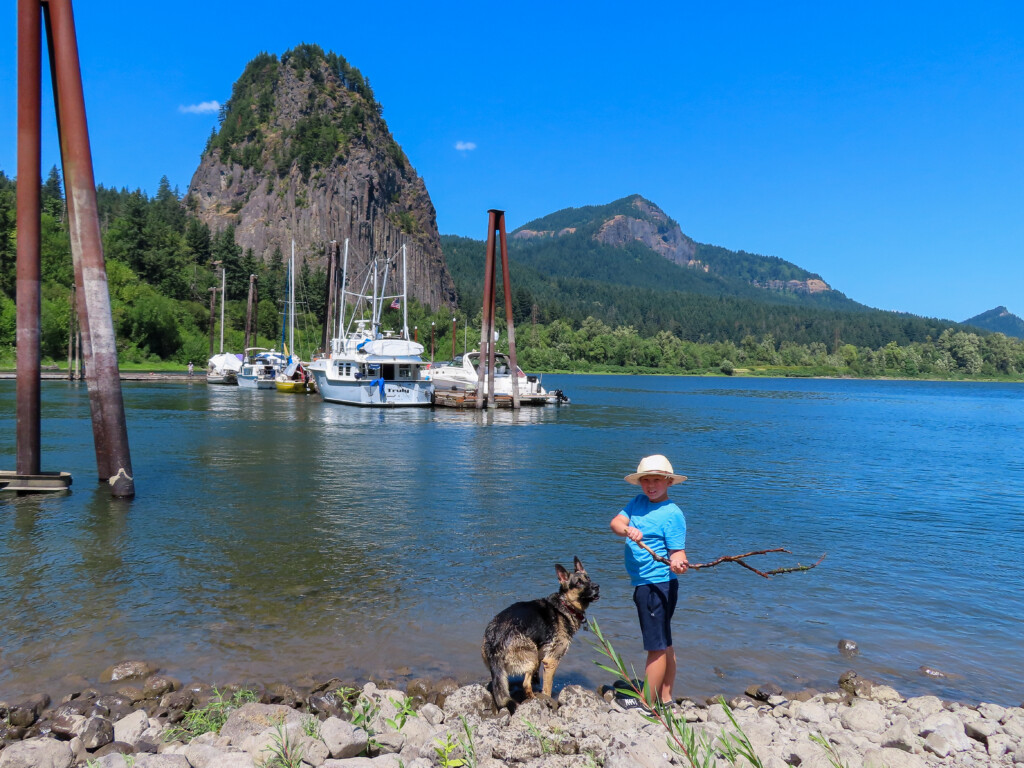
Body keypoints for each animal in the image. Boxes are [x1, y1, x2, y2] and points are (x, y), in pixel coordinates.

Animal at [481, 561, 598, 716]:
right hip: (531, 657)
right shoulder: (551, 660)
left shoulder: (542, 654)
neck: (565, 604)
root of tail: (495, 640)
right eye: (579, 582)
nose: (597, 587)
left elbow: (536, 677)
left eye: (588, 578)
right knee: (525, 684)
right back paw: (534, 699)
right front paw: (548, 699)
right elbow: (547, 687)